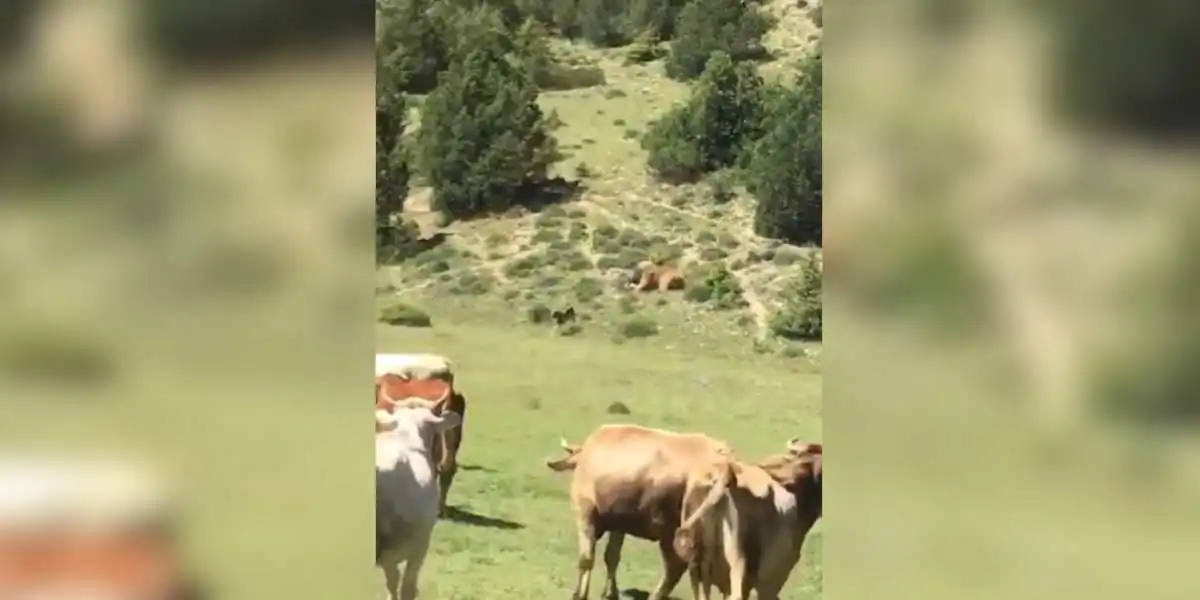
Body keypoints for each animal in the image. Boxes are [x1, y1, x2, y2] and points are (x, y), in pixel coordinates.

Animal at [544, 424, 729, 600]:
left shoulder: (585, 512)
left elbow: (586, 558)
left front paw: (579, 594)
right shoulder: (618, 525)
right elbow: (612, 556)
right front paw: (610, 592)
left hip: (671, 534)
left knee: (675, 568)